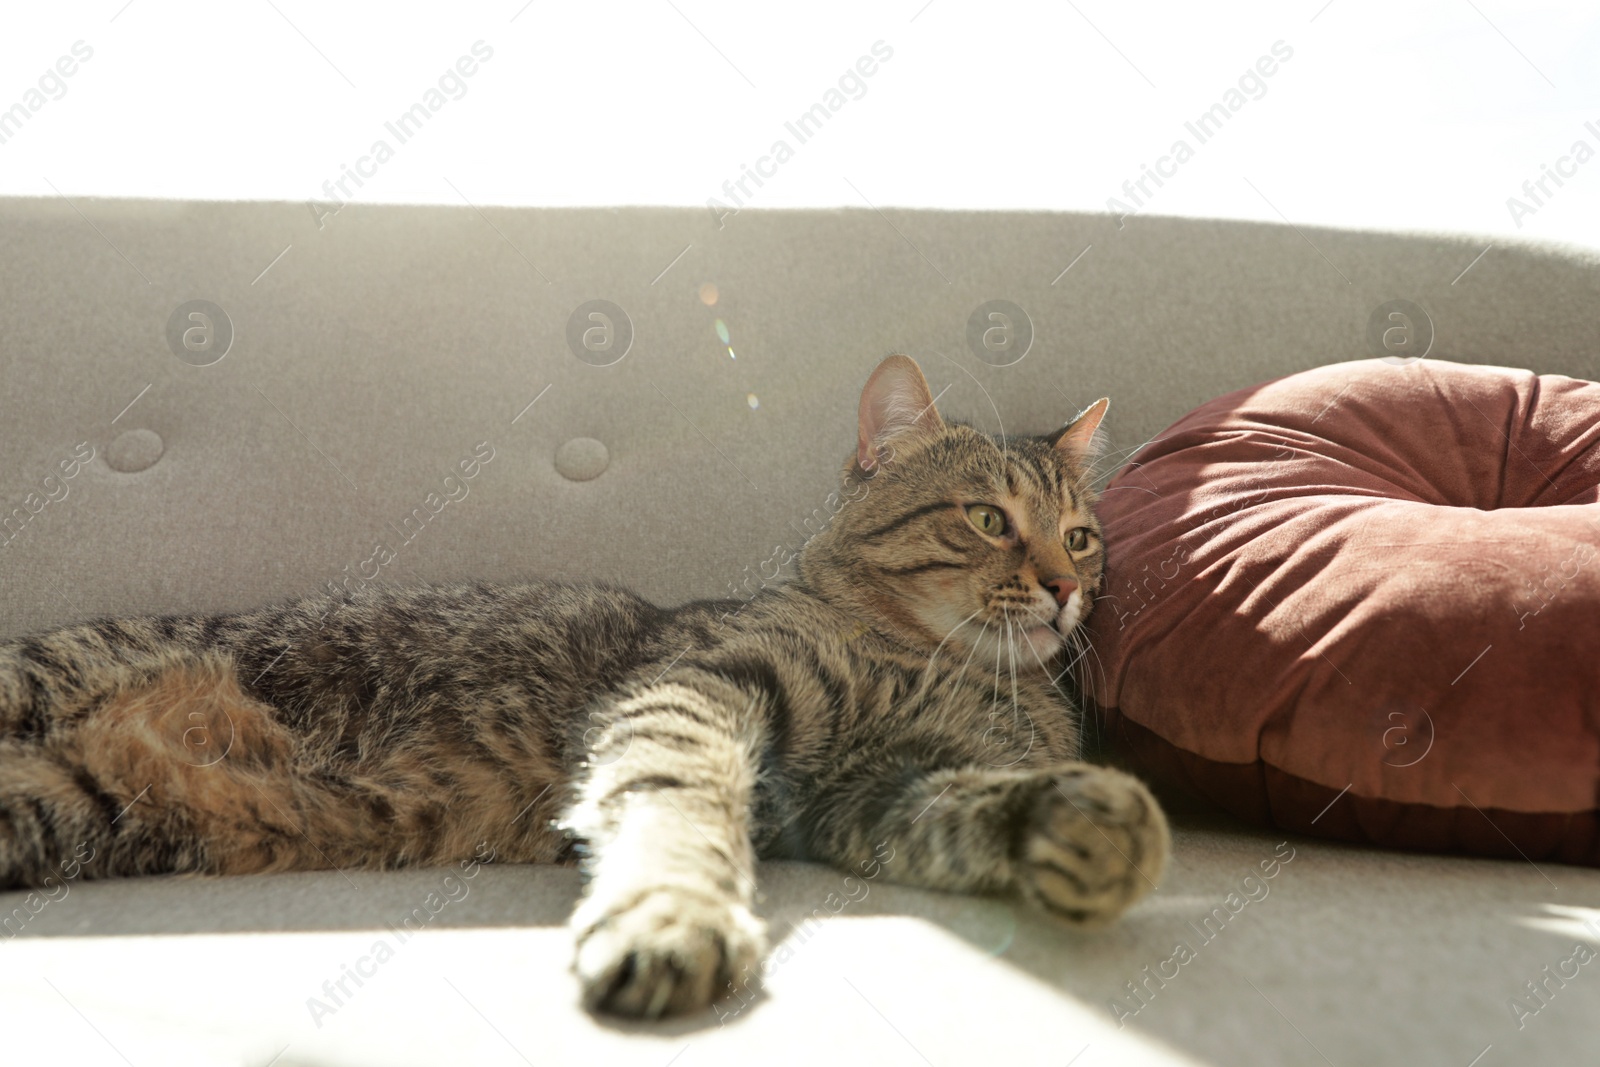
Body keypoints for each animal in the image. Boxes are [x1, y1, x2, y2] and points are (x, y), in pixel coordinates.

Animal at [0, 351, 1171, 1017]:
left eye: (1082, 534)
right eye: (986, 519)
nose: (1067, 586)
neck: (941, 666)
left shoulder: (873, 796)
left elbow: (971, 807)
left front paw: (1085, 820)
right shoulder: (704, 685)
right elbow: (678, 803)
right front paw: (674, 916)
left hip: (57, 808)